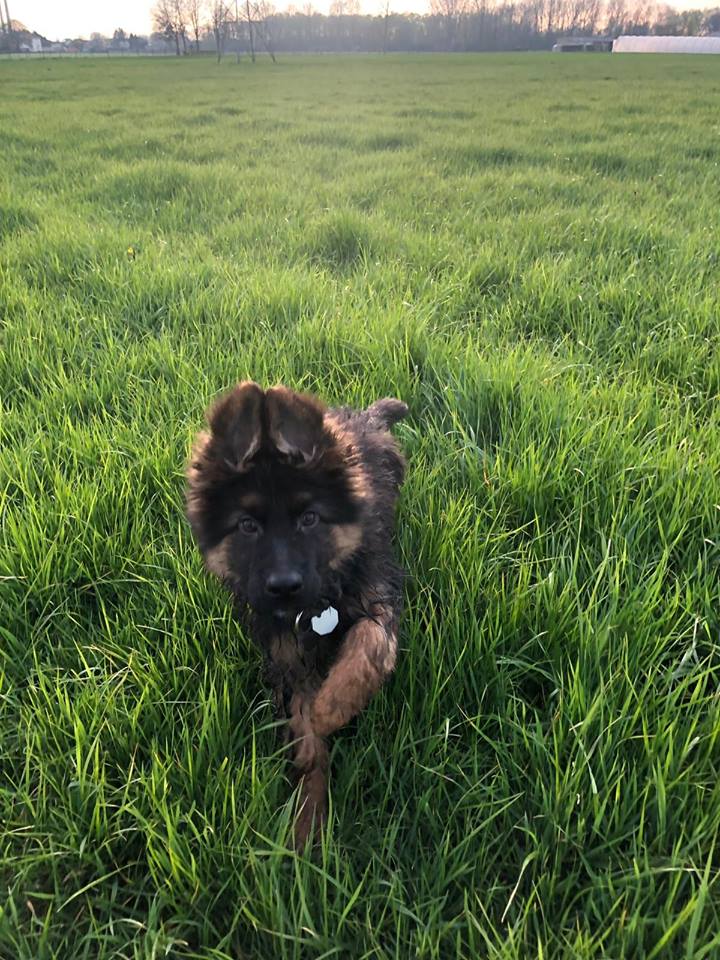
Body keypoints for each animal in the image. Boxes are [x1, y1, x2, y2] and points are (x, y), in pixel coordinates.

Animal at [185, 381, 408, 848]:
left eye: (310, 518)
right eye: (247, 526)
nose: (284, 586)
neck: (318, 604)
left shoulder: (379, 596)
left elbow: (368, 646)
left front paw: (333, 707)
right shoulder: (288, 657)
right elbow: (305, 735)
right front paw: (306, 825)